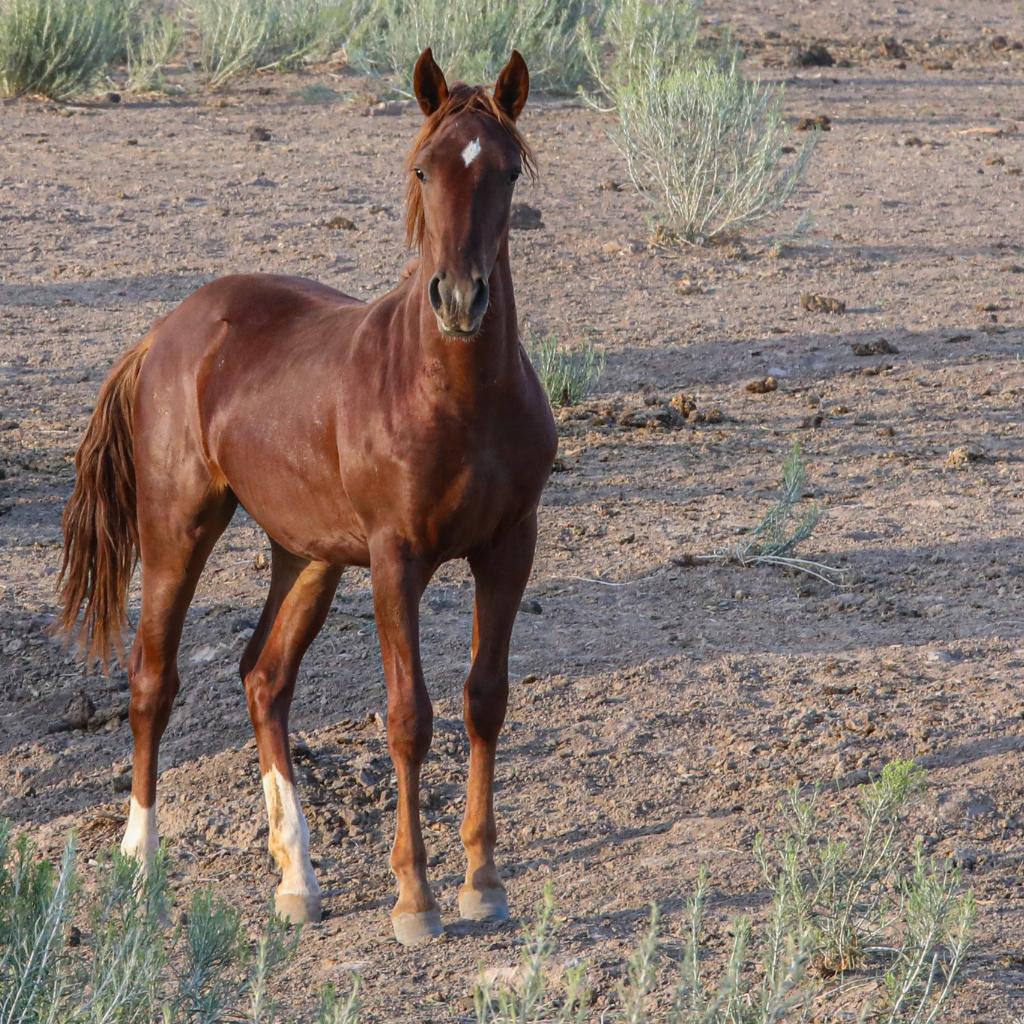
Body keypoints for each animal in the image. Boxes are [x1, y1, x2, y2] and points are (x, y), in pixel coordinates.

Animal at [56, 48, 557, 942]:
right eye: (423, 169)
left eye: (505, 169)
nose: (460, 299)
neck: (458, 398)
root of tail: (167, 332)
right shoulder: (397, 560)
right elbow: (409, 718)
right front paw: (415, 898)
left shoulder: (510, 547)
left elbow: (485, 701)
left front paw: (484, 881)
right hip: (178, 527)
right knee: (152, 680)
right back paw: (141, 861)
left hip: (307, 556)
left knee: (264, 679)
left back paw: (297, 877)